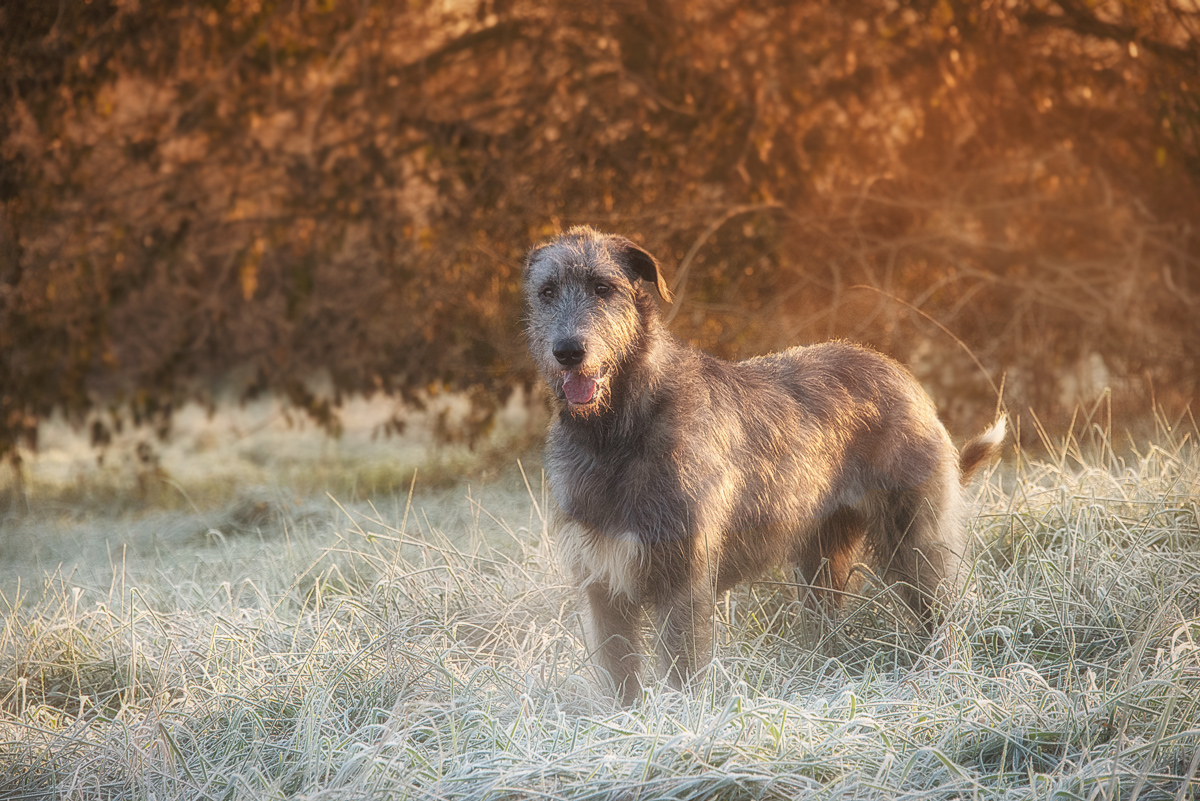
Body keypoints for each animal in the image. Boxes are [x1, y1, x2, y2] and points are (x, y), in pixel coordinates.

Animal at [525, 224, 1003, 700]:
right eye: (547, 291)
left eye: (602, 287)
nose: (569, 351)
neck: (616, 432)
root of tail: (901, 374)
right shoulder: (601, 588)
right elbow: (618, 678)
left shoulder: (682, 581)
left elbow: (684, 674)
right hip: (819, 558)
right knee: (827, 621)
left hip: (916, 542)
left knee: (945, 610)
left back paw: (948, 675)